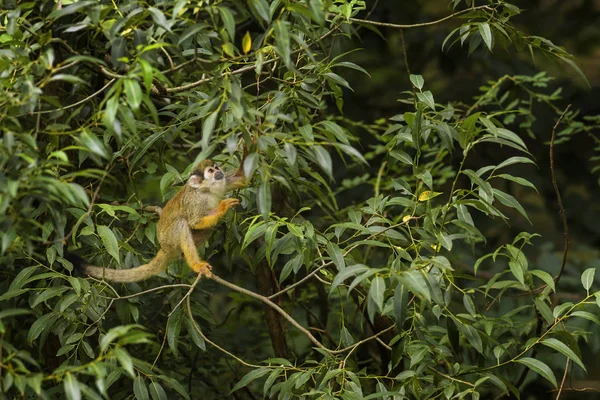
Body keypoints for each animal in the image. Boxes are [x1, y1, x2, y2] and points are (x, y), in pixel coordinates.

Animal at [69, 158, 247, 282]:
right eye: (210, 171)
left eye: (216, 168)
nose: (218, 171)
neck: (207, 190)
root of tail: (164, 248)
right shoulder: (195, 201)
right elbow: (194, 222)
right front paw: (222, 208)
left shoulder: (223, 183)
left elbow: (241, 179)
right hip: (169, 239)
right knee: (183, 223)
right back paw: (196, 264)